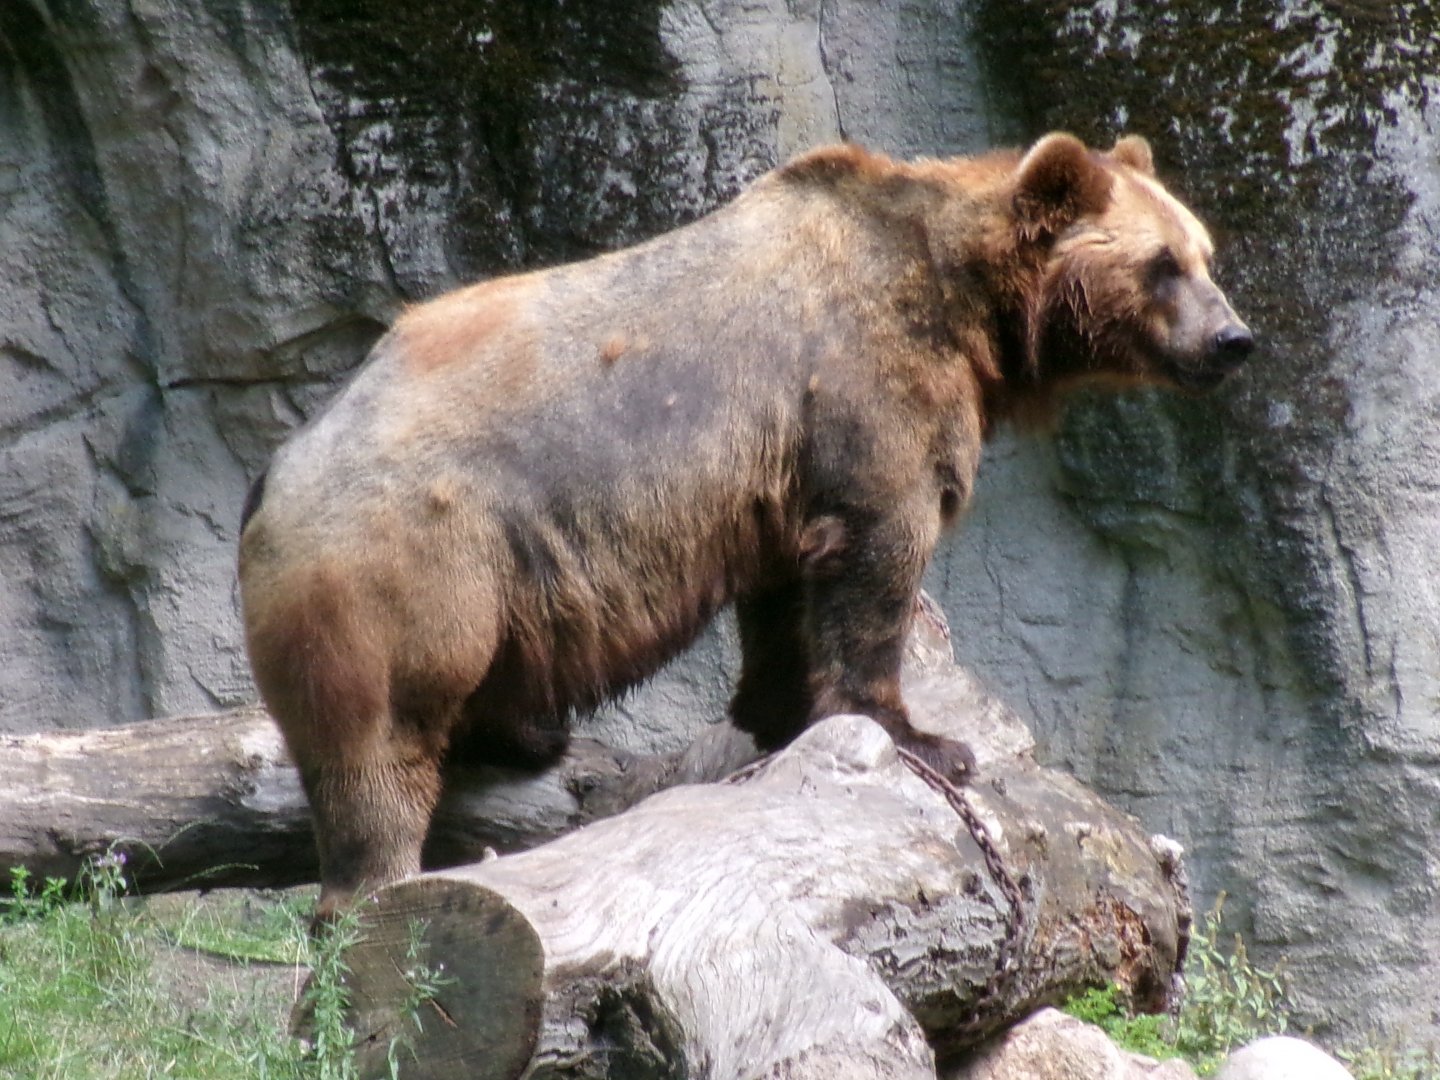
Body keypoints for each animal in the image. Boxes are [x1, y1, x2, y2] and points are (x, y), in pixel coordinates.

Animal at [238, 132, 1252, 918]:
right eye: (1162, 264)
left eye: (1205, 253)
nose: (1233, 340)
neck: (967, 305)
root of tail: (273, 479)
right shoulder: (862, 382)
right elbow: (877, 552)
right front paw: (924, 737)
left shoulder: (778, 471)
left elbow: (785, 591)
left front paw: (776, 709)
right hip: (405, 567)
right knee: (380, 749)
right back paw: (373, 887)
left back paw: (526, 737)